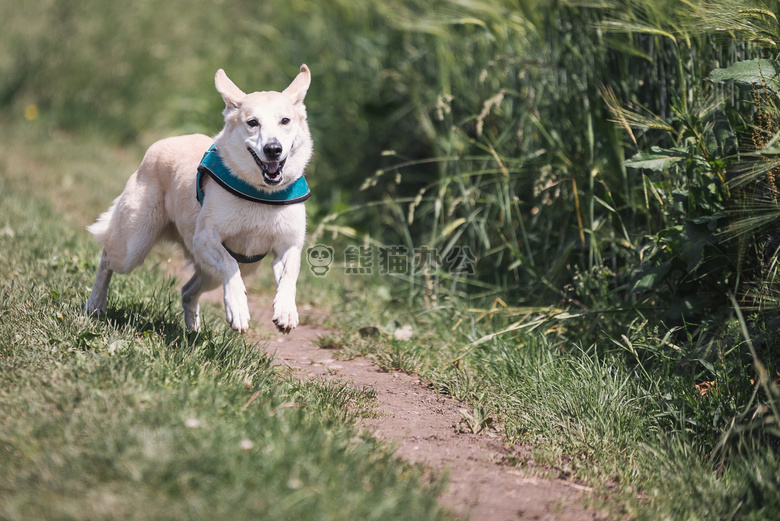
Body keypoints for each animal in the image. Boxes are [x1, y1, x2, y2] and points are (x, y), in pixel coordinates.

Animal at [85, 65, 314, 334]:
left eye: (285, 121)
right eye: (252, 123)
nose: (273, 149)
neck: (261, 194)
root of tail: (161, 144)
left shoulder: (288, 246)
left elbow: (290, 275)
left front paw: (286, 311)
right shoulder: (205, 238)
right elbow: (229, 264)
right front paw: (238, 309)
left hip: (210, 273)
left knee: (187, 291)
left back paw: (193, 331)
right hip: (133, 246)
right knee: (107, 258)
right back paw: (95, 304)